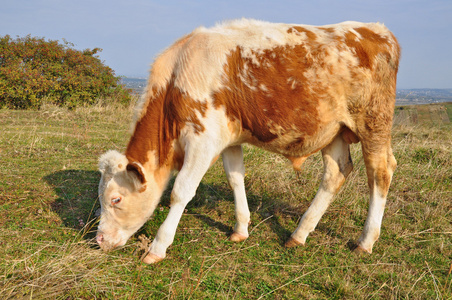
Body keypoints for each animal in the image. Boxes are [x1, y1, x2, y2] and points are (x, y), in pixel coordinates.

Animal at [95, 18, 400, 262]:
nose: (99, 240)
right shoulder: (229, 138)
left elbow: (181, 191)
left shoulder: (203, 139)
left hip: (374, 123)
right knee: (336, 173)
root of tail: (375, 28)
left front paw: (157, 248)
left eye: (115, 199)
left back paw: (365, 241)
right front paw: (241, 229)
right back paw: (299, 234)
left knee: (380, 173)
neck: (178, 75)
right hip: (334, 130)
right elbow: (235, 178)